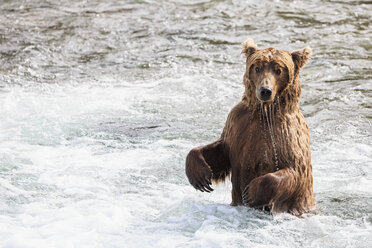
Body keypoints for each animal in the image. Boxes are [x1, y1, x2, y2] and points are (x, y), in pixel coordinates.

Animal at [185, 37, 316, 214]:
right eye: (257, 67)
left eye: (278, 70)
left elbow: (294, 168)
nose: (265, 90)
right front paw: (200, 176)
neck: (264, 113)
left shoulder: (286, 134)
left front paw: (251, 192)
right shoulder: (238, 124)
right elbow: (221, 150)